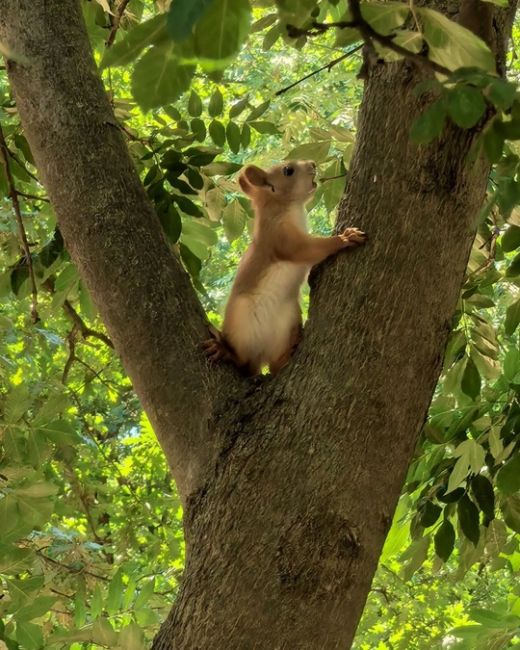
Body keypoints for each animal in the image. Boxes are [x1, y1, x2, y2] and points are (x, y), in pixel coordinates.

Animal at [201, 158, 368, 378]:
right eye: (288, 170)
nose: (313, 163)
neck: (285, 207)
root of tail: (260, 357)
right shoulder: (281, 237)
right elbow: (310, 249)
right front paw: (345, 238)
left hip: (288, 323)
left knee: (275, 363)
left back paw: (290, 350)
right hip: (240, 324)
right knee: (242, 361)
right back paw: (227, 352)